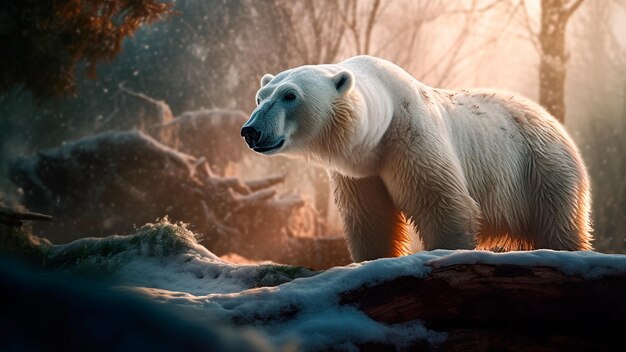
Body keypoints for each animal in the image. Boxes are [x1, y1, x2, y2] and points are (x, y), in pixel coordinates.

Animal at [239, 55, 588, 262]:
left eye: (290, 95)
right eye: (260, 97)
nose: (251, 131)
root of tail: (555, 123)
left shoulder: (411, 141)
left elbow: (443, 203)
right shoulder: (359, 172)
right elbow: (371, 219)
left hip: (541, 169)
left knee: (558, 224)